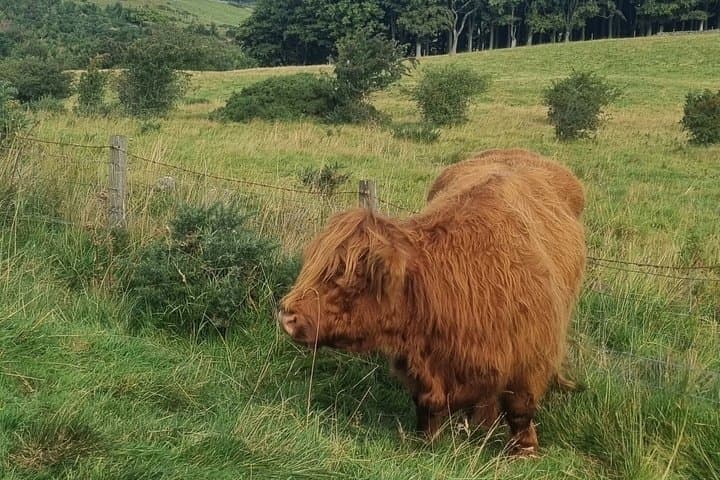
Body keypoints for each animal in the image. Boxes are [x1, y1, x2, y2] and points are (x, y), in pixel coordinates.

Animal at [279, 149, 586, 455]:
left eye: (349, 278)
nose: (287, 317)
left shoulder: (531, 359)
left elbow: (520, 409)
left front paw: (525, 451)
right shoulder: (420, 364)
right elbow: (428, 406)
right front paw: (426, 441)